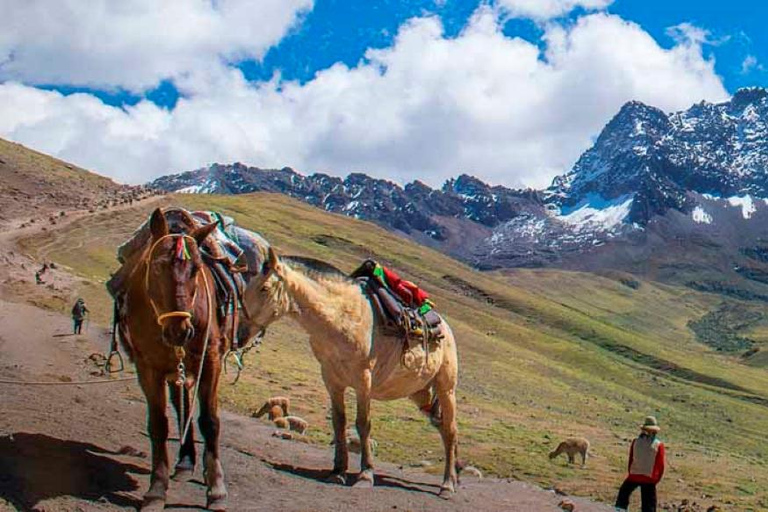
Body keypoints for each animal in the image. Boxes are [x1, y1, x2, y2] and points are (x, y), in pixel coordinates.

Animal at [118, 208, 229, 511]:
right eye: (156, 266)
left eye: (197, 269)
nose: (180, 331)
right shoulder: (147, 366)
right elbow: (158, 423)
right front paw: (157, 490)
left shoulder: (209, 360)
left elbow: (210, 421)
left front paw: (216, 489)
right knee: (181, 406)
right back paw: (184, 462)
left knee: (188, 406)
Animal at [242, 248, 460, 496]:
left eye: (264, 288)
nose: (242, 331)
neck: (339, 318)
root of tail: (446, 328)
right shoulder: (332, 380)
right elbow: (339, 422)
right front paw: (338, 471)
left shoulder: (363, 380)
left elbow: (363, 424)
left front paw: (365, 474)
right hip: (420, 394)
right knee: (442, 427)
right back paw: (454, 477)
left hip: (446, 388)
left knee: (451, 431)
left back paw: (447, 485)